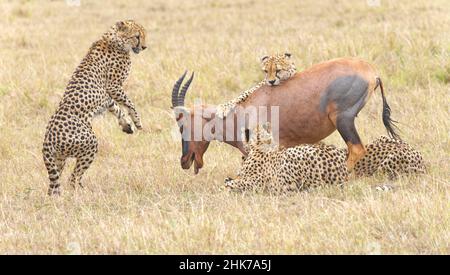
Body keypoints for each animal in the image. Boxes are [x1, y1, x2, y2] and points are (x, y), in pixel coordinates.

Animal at [42, 20, 148, 196]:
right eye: (137, 36)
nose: (145, 47)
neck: (114, 39)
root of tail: (47, 139)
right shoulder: (113, 87)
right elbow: (129, 104)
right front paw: (137, 122)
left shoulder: (108, 96)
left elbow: (117, 108)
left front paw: (127, 125)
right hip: (90, 143)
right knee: (73, 178)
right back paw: (82, 193)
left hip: (58, 159)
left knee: (55, 184)